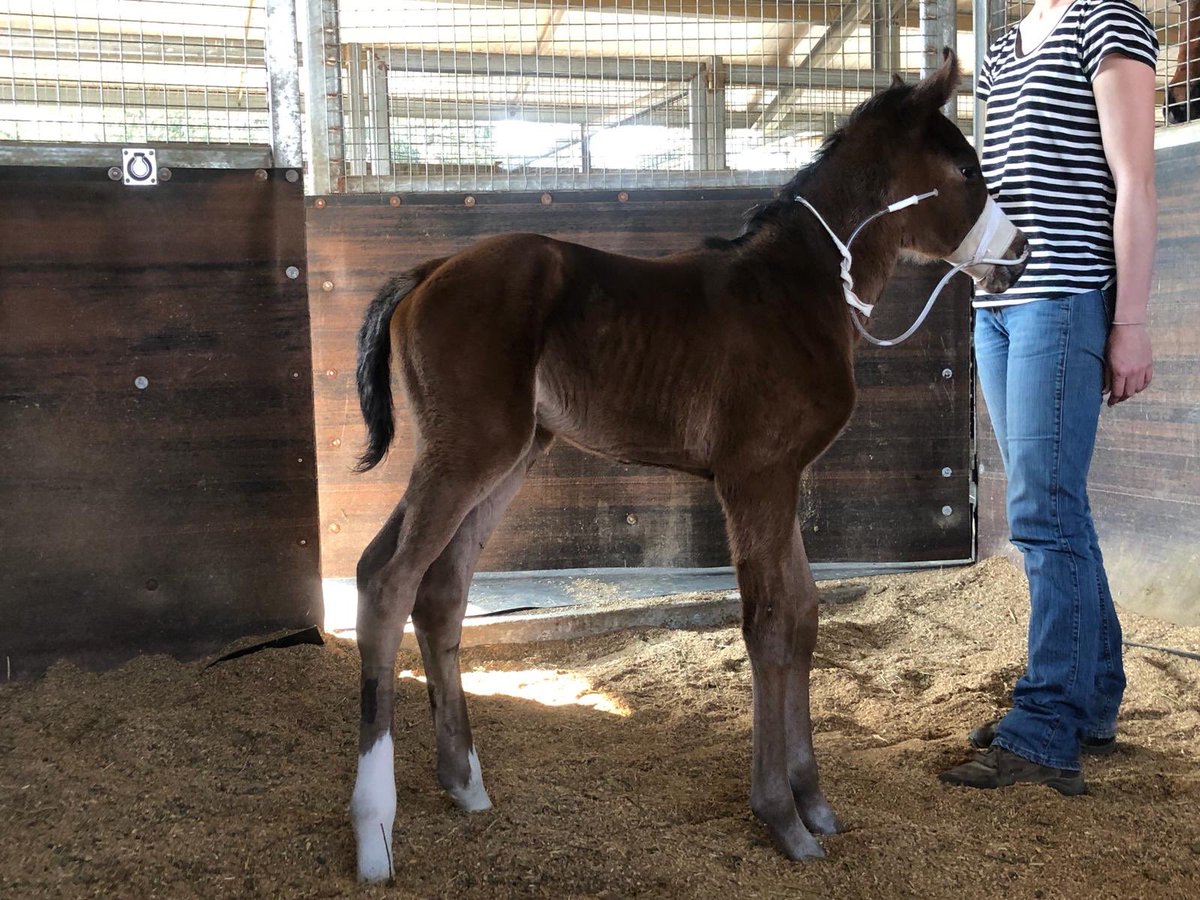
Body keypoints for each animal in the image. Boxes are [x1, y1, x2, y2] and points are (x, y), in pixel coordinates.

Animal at [348, 49, 1028, 881]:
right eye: (965, 168)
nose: (1018, 255)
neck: (798, 292)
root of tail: (430, 269)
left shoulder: (784, 479)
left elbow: (804, 615)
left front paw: (814, 801)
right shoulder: (752, 478)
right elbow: (768, 624)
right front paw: (781, 817)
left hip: (508, 458)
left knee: (440, 590)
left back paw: (466, 784)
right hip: (468, 451)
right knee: (388, 579)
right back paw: (374, 828)